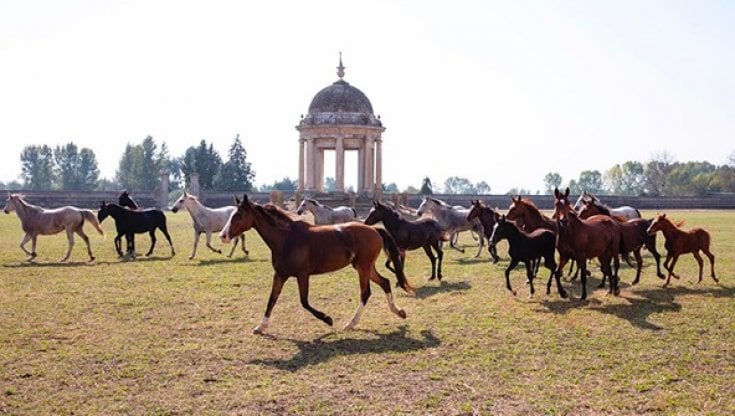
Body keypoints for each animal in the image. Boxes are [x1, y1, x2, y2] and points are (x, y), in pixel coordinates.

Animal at [219, 195, 413, 334]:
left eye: (238, 215)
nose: (223, 235)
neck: (286, 238)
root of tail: (374, 229)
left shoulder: (302, 275)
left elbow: (304, 302)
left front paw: (328, 319)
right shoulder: (280, 274)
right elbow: (272, 299)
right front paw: (260, 327)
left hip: (363, 268)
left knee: (366, 293)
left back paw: (350, 323)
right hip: (364, 267)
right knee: (385, 282)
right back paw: (399, 312)